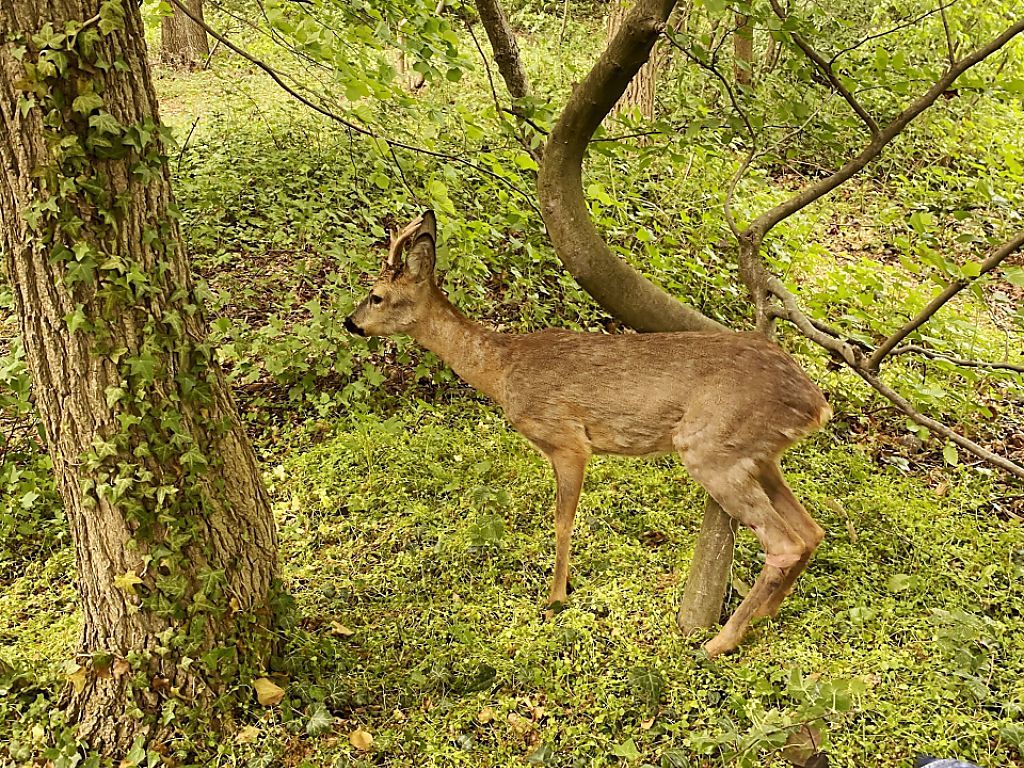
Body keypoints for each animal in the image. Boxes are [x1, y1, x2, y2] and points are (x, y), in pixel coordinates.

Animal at [344, 214, 831, 659]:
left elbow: (562, 521)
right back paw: (764, 615)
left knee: (784, 542)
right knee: (812, 530)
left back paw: (719, 642)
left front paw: (555, 598)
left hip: (711, 448)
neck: (503, 371)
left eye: (376, 295)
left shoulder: (567, 440)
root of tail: (817, 404)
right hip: (758, 455)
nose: (351, 322)